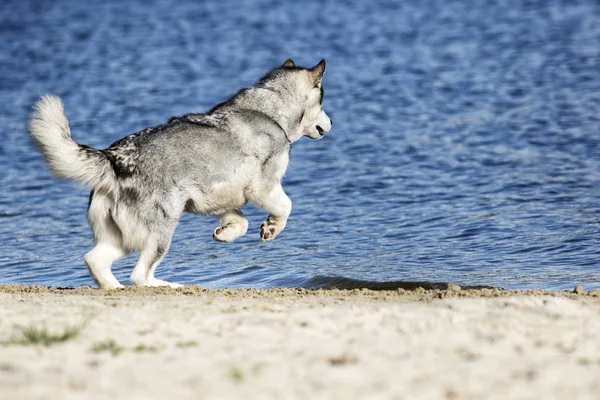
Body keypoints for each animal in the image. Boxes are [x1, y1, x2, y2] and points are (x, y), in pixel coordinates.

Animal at [28, 59, 332, 290]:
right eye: (323, 100)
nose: (332, 122)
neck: (271, 110)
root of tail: (114, 158)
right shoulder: (263, 187)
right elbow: (286, 206)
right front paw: (271, 227)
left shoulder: (221, 199)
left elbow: (240, 222)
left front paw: (225, 234)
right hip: (161, 231)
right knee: (139, 275)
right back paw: (167, 285)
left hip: (122, 238)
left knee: (95, 260)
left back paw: (114, 289)